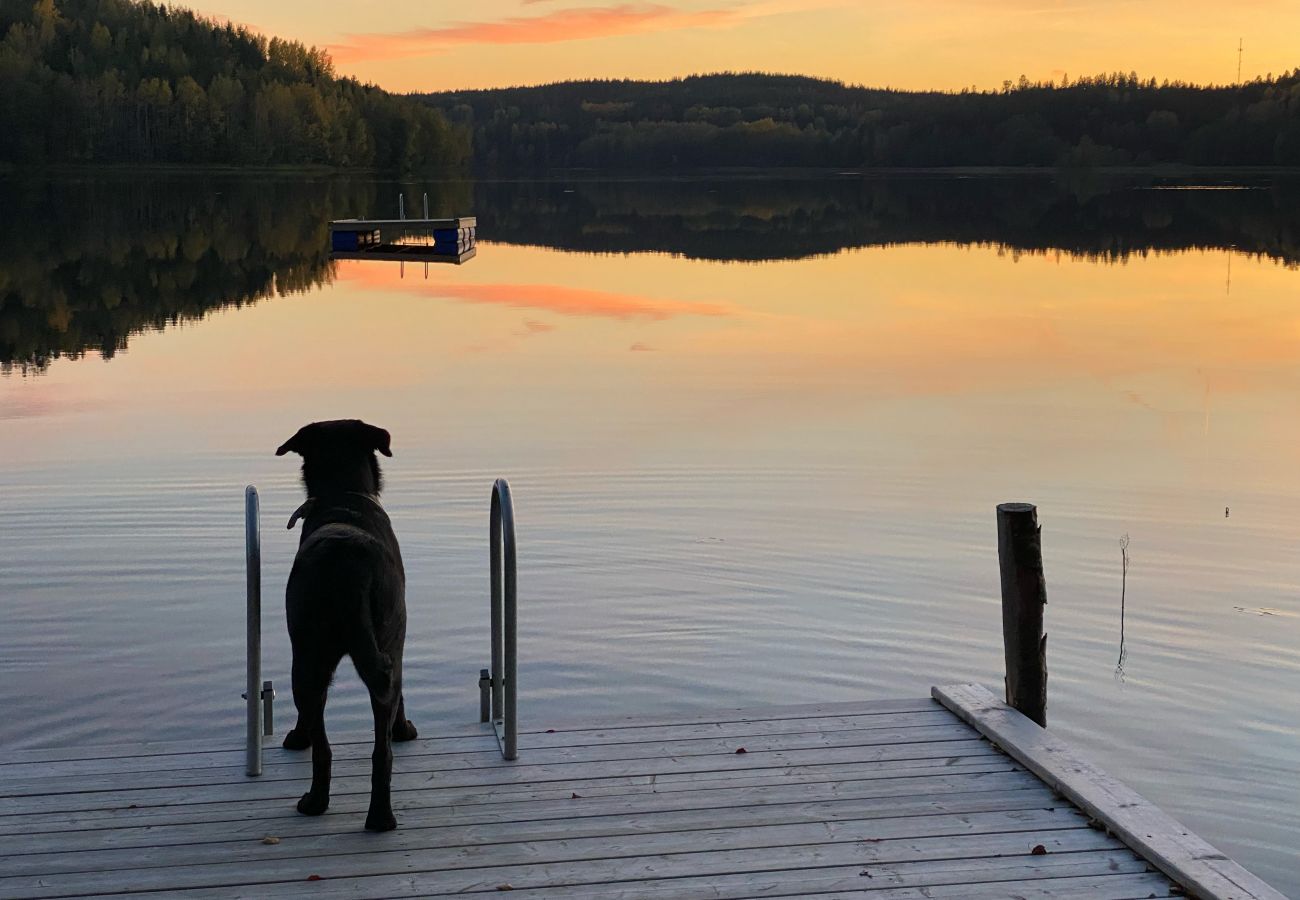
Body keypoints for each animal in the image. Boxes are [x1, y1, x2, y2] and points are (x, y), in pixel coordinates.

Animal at [278, 418, 416, 832]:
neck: (343, 494)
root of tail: (344, 564)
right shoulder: (397, 642)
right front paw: (404, 730)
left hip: (307, 657)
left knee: (322, 746)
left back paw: (317, 801)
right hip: (372, 645)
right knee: (379, 751)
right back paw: (379, 817)